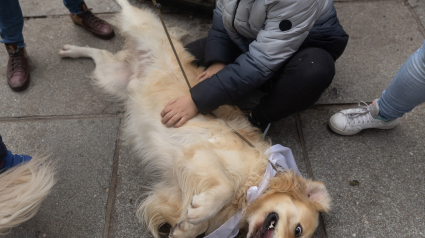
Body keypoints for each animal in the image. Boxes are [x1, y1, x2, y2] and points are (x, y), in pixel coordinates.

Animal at [58, 0, 332, 237]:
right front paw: (201, 211)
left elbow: (187, 217)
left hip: (111, 77)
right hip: (141, 25)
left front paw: (186, 227)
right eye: (298, 230)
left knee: (97, 52)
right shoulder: (200, 150)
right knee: (128, 9)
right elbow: (224, 186)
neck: (255, 184)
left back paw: (70, 50)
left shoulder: (175, 188)